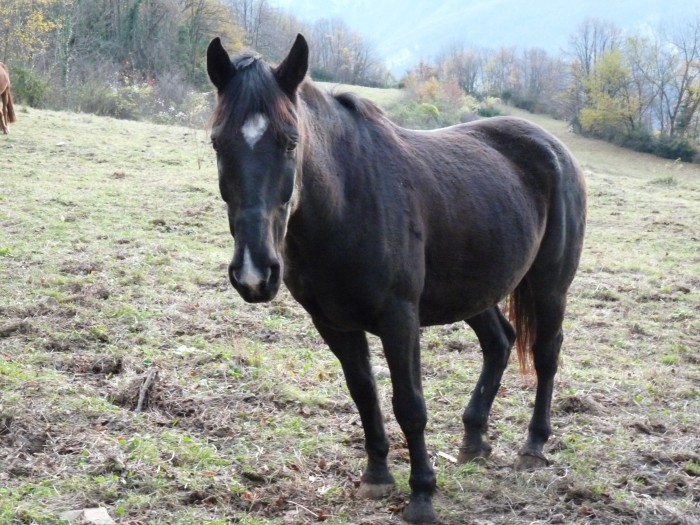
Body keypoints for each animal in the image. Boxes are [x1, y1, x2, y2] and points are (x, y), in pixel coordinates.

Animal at [206, 34, 584, 520]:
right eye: (217, 143)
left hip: (549, 286)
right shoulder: (332, 324)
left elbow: (410, 405)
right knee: (499, 342)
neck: (346, 200)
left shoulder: (399, 318)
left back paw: (534, 446)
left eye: (290, 141)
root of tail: (553, 147)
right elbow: (364, 393)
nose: (254, 273)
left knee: (545, 353)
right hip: (474, 291)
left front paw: (421, 494)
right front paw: (377, 476)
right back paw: (474, 439)